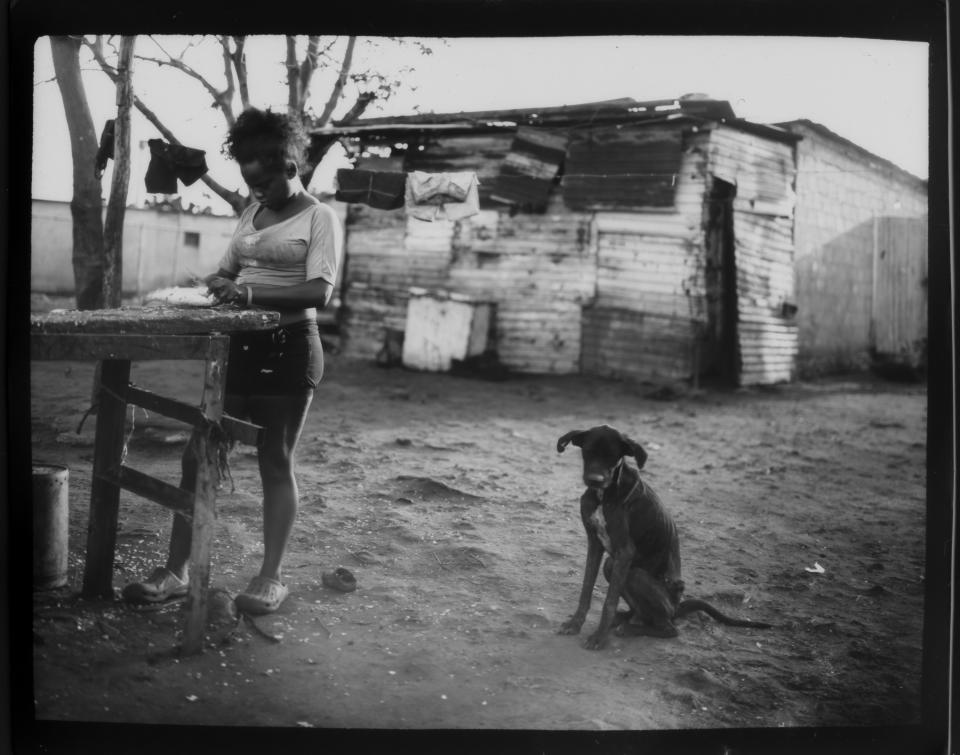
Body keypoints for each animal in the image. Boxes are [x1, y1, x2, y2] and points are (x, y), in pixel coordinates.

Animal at [556, 426, 772, 648]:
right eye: (588, 451)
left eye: (613, 457)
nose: (594, 480)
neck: (604, 495)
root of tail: (676, 608)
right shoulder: (594, 543)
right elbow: (586, 589)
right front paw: (575, 624)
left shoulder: (625, 551)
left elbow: (609, 601)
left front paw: (599, 637)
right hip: (613, 566)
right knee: (642, 614)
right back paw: (625, 620)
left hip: (635, 574)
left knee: (670, 628)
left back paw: (631, 628)